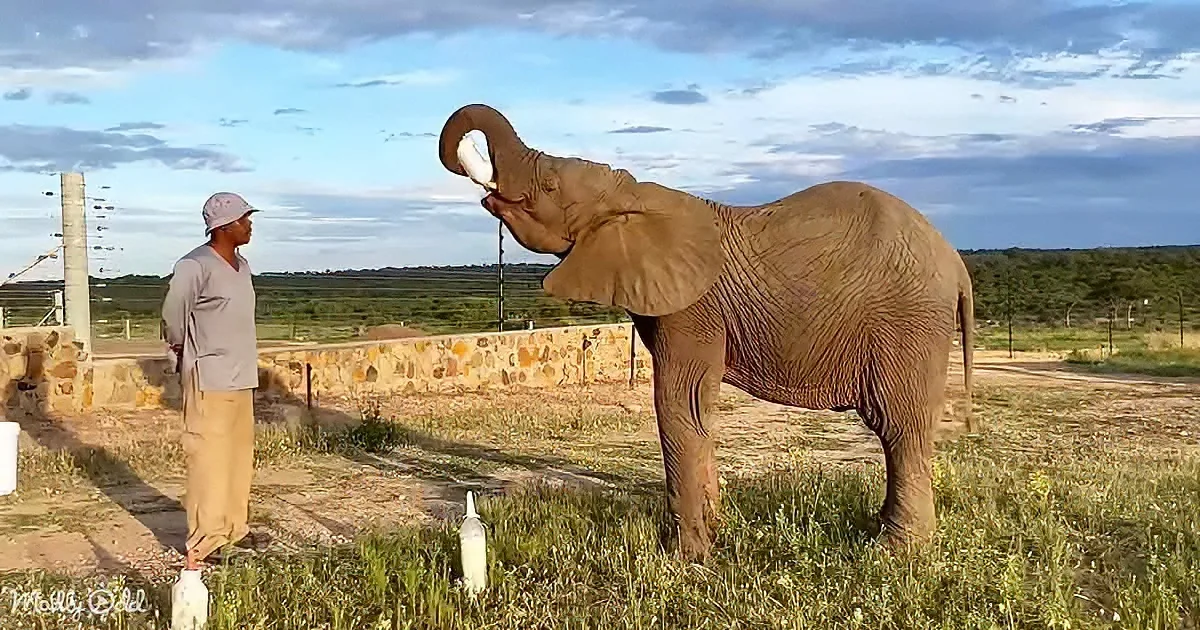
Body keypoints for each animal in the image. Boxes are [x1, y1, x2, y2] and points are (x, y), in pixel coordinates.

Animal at [437, 103, 976, 562]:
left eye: (549, 185)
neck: (633, 195)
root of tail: (957, 263)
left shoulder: (693, 310)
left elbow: (680, 405)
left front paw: (685, 558)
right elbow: (693, 412)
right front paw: (713, 533)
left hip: (908, 321)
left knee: (900, 426)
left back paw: (894, 551)